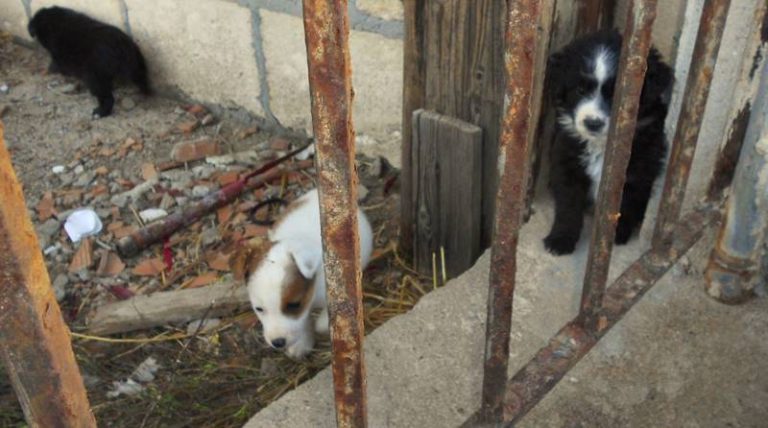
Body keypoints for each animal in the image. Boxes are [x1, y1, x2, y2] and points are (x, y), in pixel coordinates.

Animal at [232, 189, 374, 360]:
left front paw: (320, 326)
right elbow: (303, 322)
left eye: (294, 305)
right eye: (259, 309)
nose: (278, 342)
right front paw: (302, 343)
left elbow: (322, 321)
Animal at [540, 30, 672, 258]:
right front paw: (561, 239)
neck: (601, 144)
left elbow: (625, 205)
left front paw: (614, 236)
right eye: (580, 90)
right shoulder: (567, 163)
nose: (592, 123)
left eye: (617, 96)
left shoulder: (638, 171)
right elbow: (568, 207)